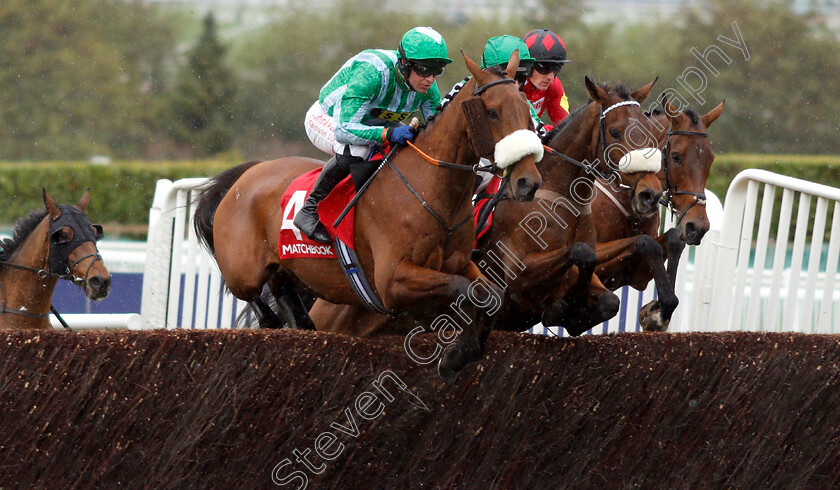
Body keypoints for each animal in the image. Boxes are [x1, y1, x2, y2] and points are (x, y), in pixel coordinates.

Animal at [193, 52, 540, 376]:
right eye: (492, 112)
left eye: (528, 112)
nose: (529, 182)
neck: (431, 188)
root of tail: (246, 175)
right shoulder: (393, 282)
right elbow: (465, 289)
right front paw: (455, 354)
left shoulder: (459, 262)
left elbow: (491, 294)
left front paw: (459, 354)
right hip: (244, 271)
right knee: (250, 292)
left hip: (287, 267)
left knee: (283, 290)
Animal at [592, 97, 724, 332]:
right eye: (676, 156)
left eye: (710, 159)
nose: (698, 226)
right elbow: (645, 243)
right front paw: (658, 312)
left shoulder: (634, 273)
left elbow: (672, 240)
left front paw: (657, 309)